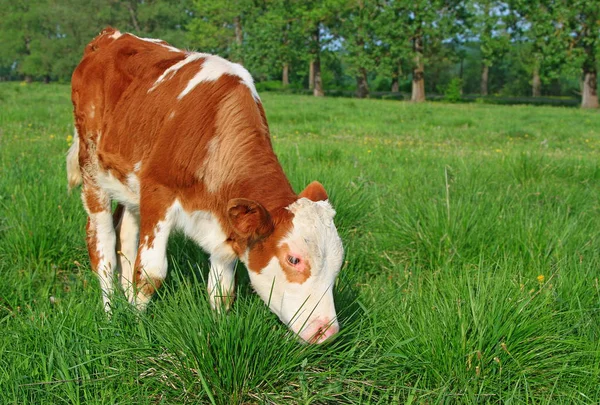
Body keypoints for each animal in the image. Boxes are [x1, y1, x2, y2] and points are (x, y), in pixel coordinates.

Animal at [66, 28, 344, 342]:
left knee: (125, 238)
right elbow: (150, 273)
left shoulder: (226, 225)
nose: (326, 331)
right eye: (294, 260)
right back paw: (111, 313)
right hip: (91, 167)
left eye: (338, 262)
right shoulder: (157, 195)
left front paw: (219, 334)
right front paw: (135, 329)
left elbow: (222, 292)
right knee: (102, 247)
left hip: (127, 182)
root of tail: (109, 35)